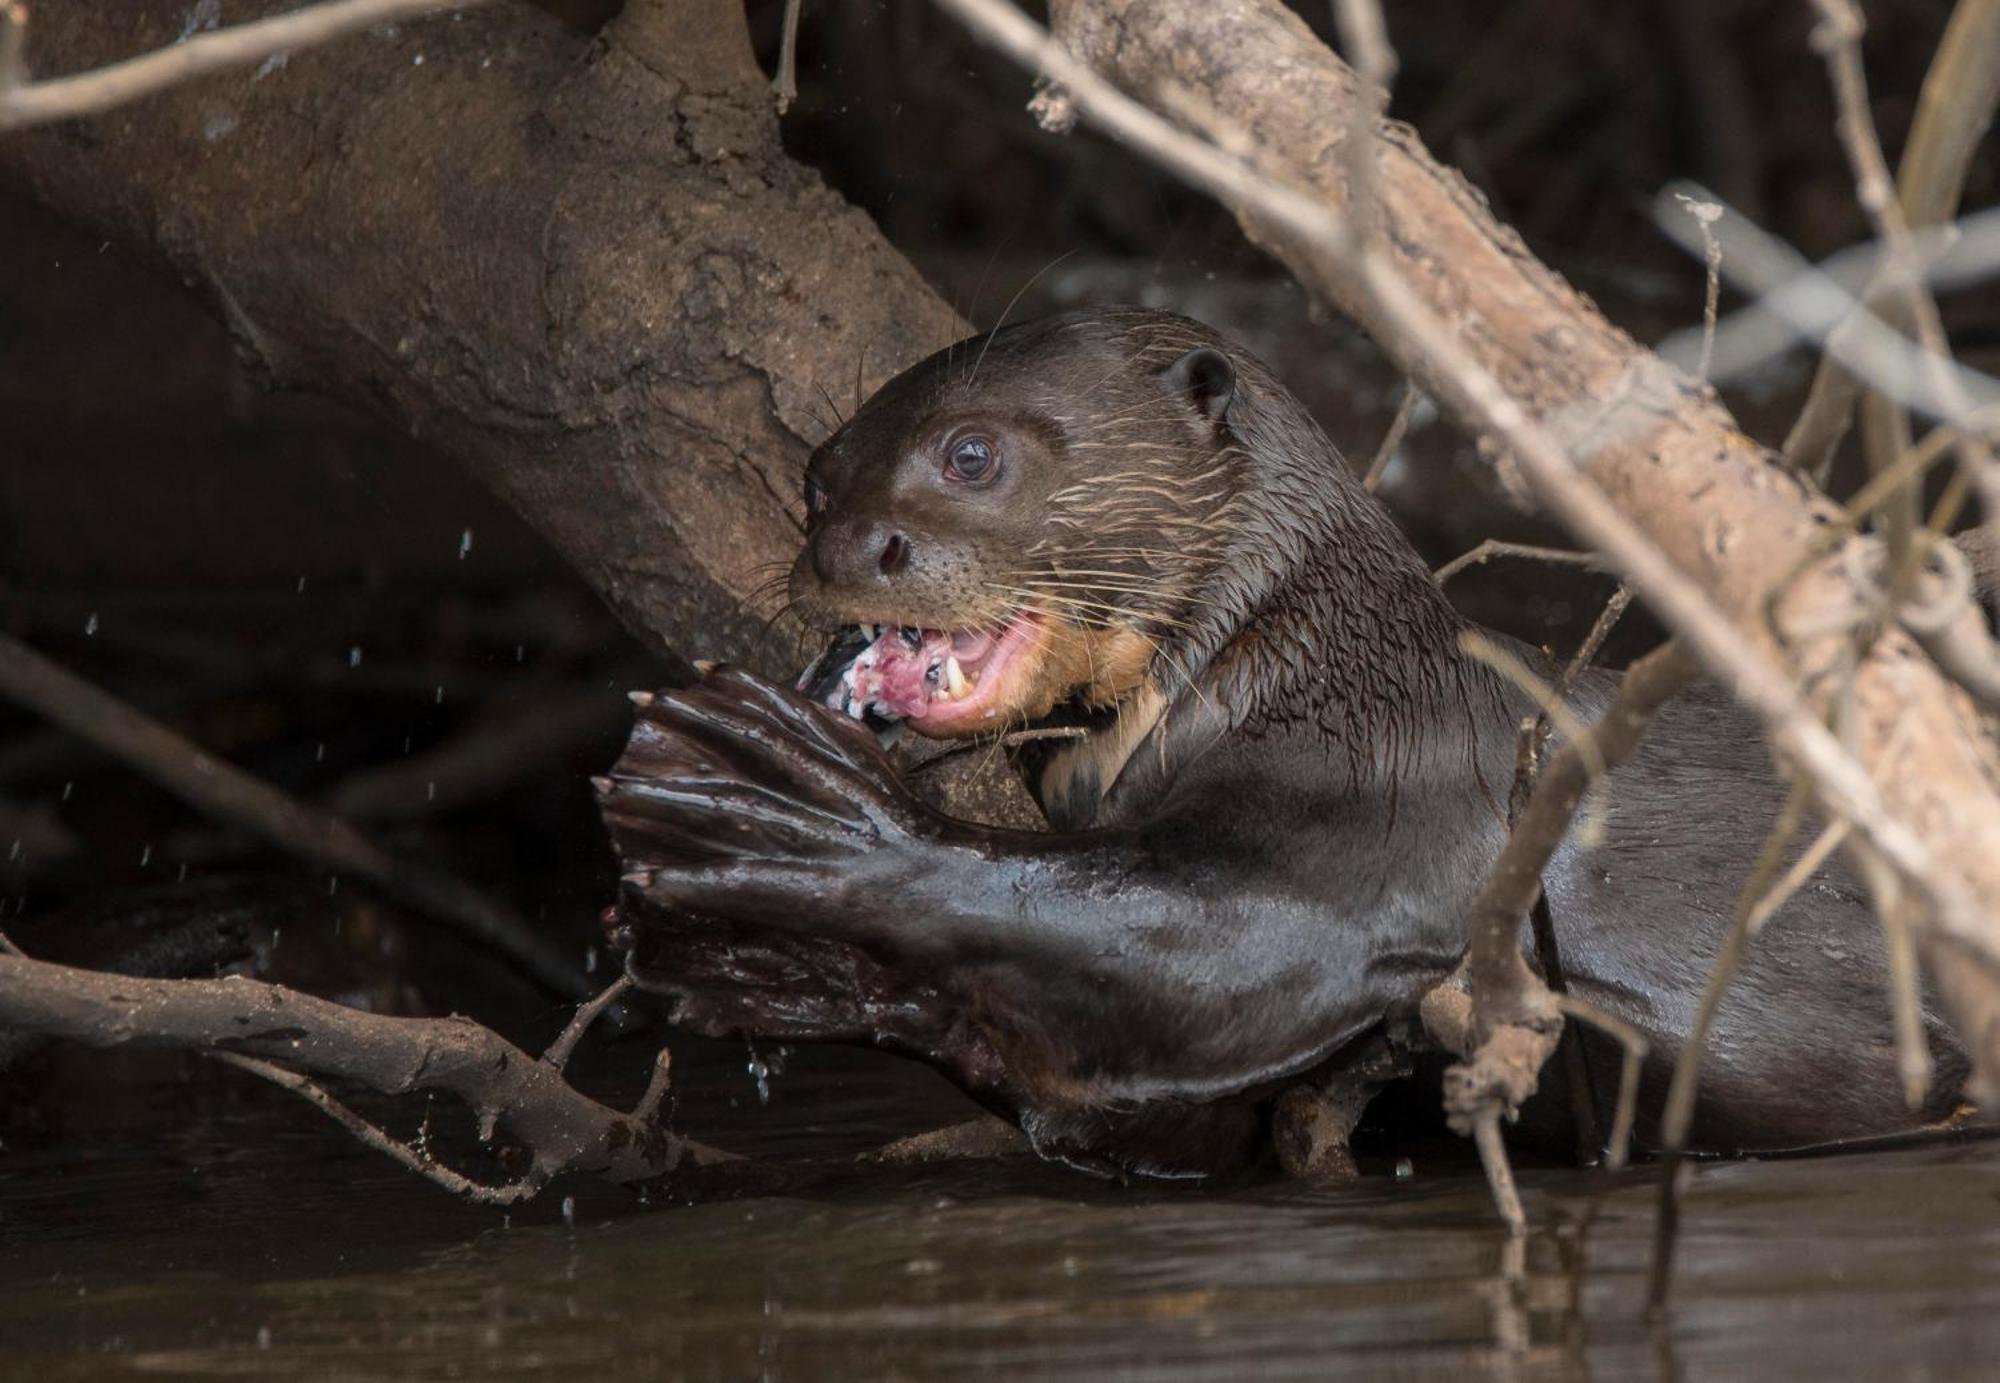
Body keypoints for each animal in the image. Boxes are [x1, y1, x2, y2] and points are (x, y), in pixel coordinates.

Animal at [596, 309, 1968, 1175]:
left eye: (970, 453)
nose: (848, 548)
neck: (1319, 679)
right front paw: (754, 949)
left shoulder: (1385, 821)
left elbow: (1204, 954)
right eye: (816, 482)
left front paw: (780, 812)